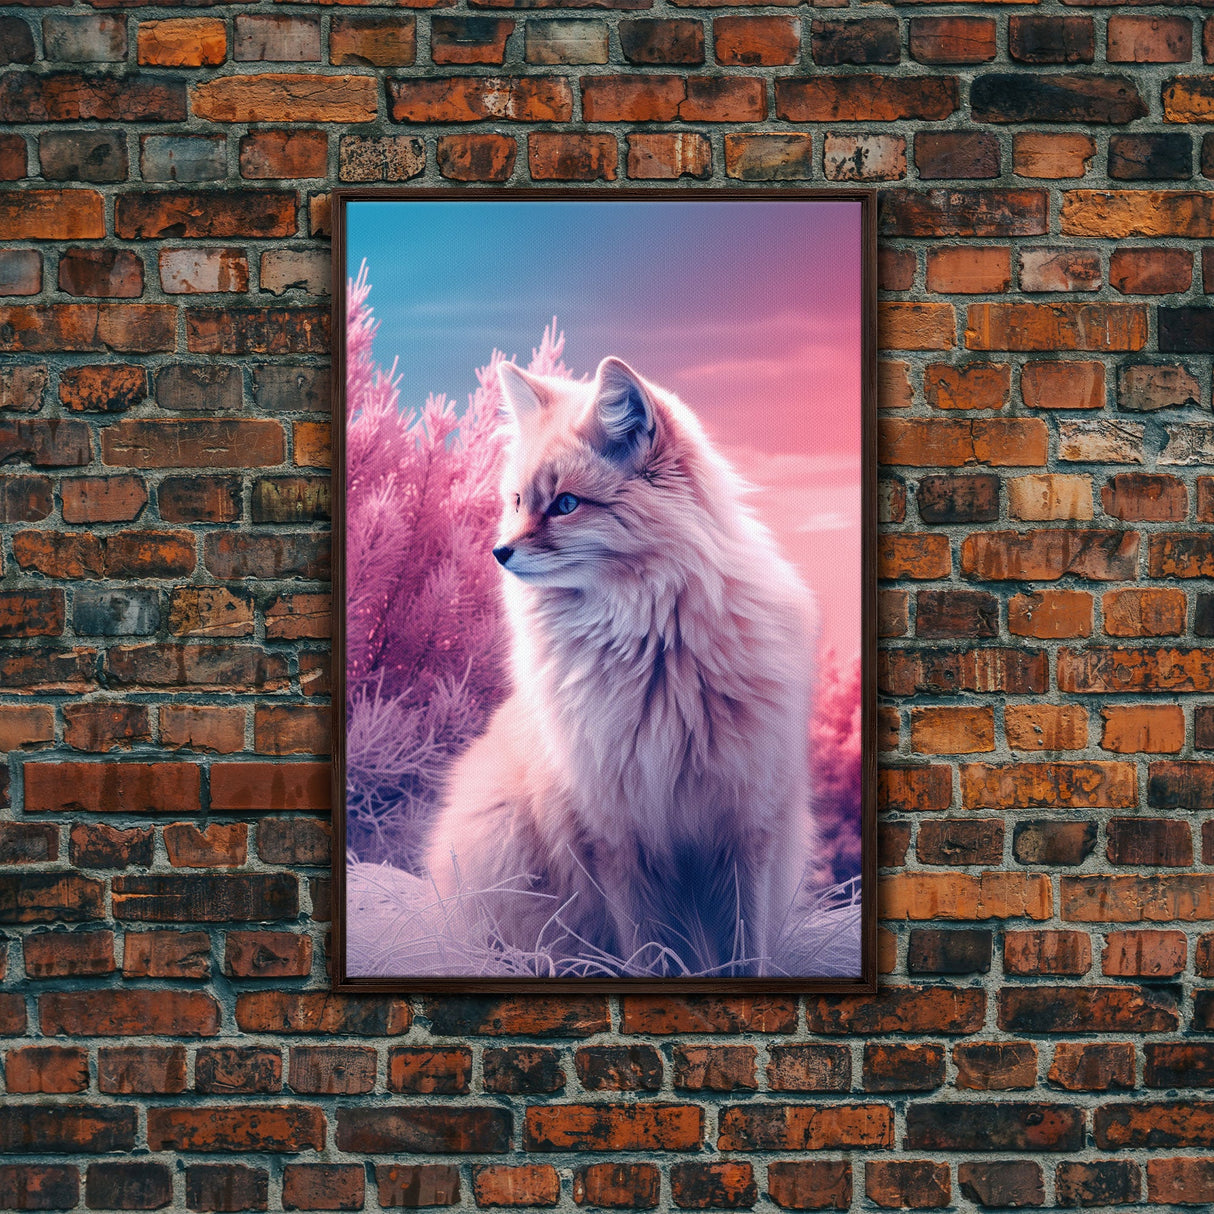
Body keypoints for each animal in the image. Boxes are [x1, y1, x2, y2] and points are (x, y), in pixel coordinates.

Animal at [424, 356, 816, 976]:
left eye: (565, 504)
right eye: (517, 502)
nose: (499, 553)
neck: (656, 670)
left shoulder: (744, 827)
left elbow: (742, 952)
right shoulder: (617, 837)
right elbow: (650, 953)